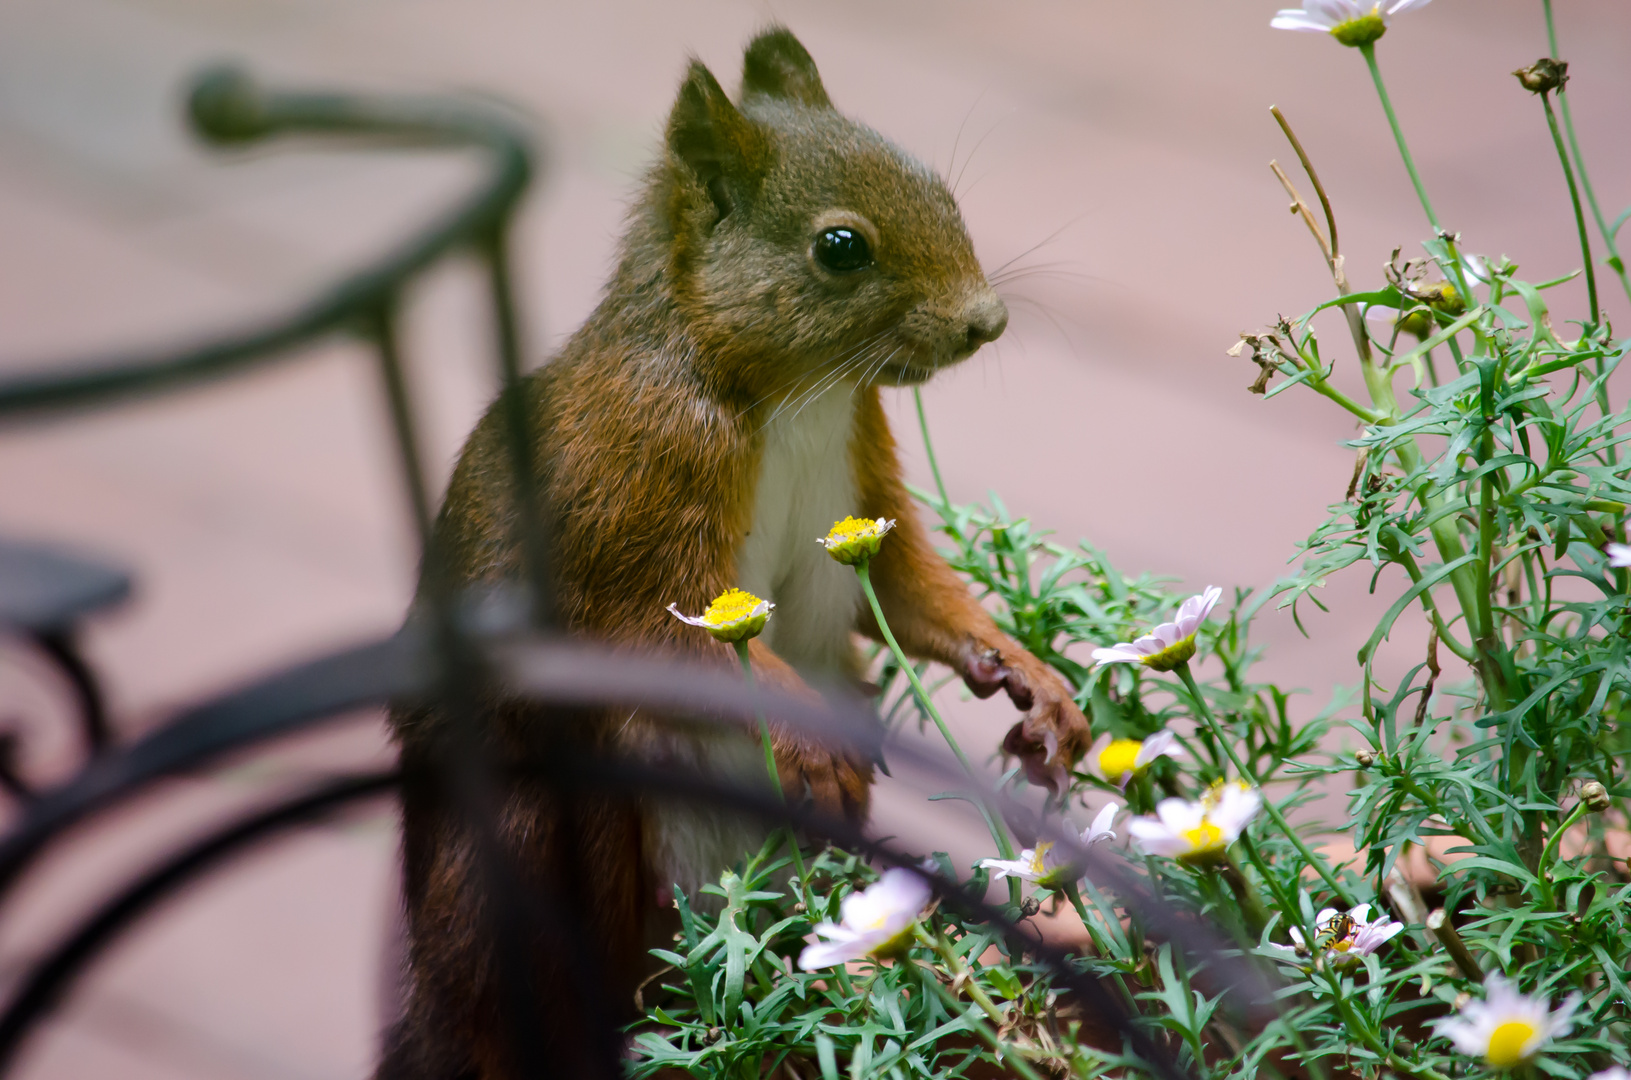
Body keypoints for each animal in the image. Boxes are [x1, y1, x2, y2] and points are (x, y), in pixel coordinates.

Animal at [380, 27, 1089, 1080]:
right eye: (839, 248)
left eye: (942, 190)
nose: (986, 322)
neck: (796, 397)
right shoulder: (634, 490)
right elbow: (653, 632)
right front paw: (813, 736)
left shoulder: (863, 486)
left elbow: (911, 591)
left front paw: (1027, 676)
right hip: (525, 854)